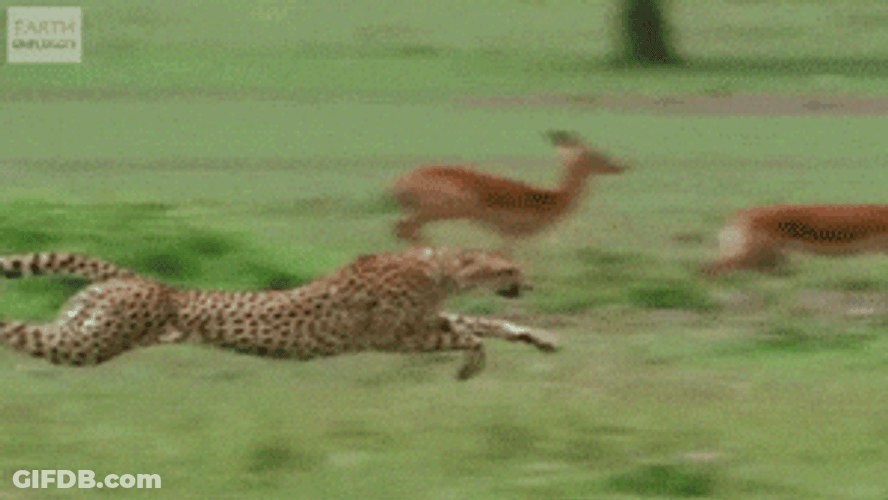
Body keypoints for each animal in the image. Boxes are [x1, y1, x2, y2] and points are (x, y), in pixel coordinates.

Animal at [389, 131, 630, 256]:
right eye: (597, 155)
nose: (621, 166)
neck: (550, 199)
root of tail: (400, 183)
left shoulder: (507, 234)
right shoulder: (509, 232)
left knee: (402, 228)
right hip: (444, 210)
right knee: (404, 227)